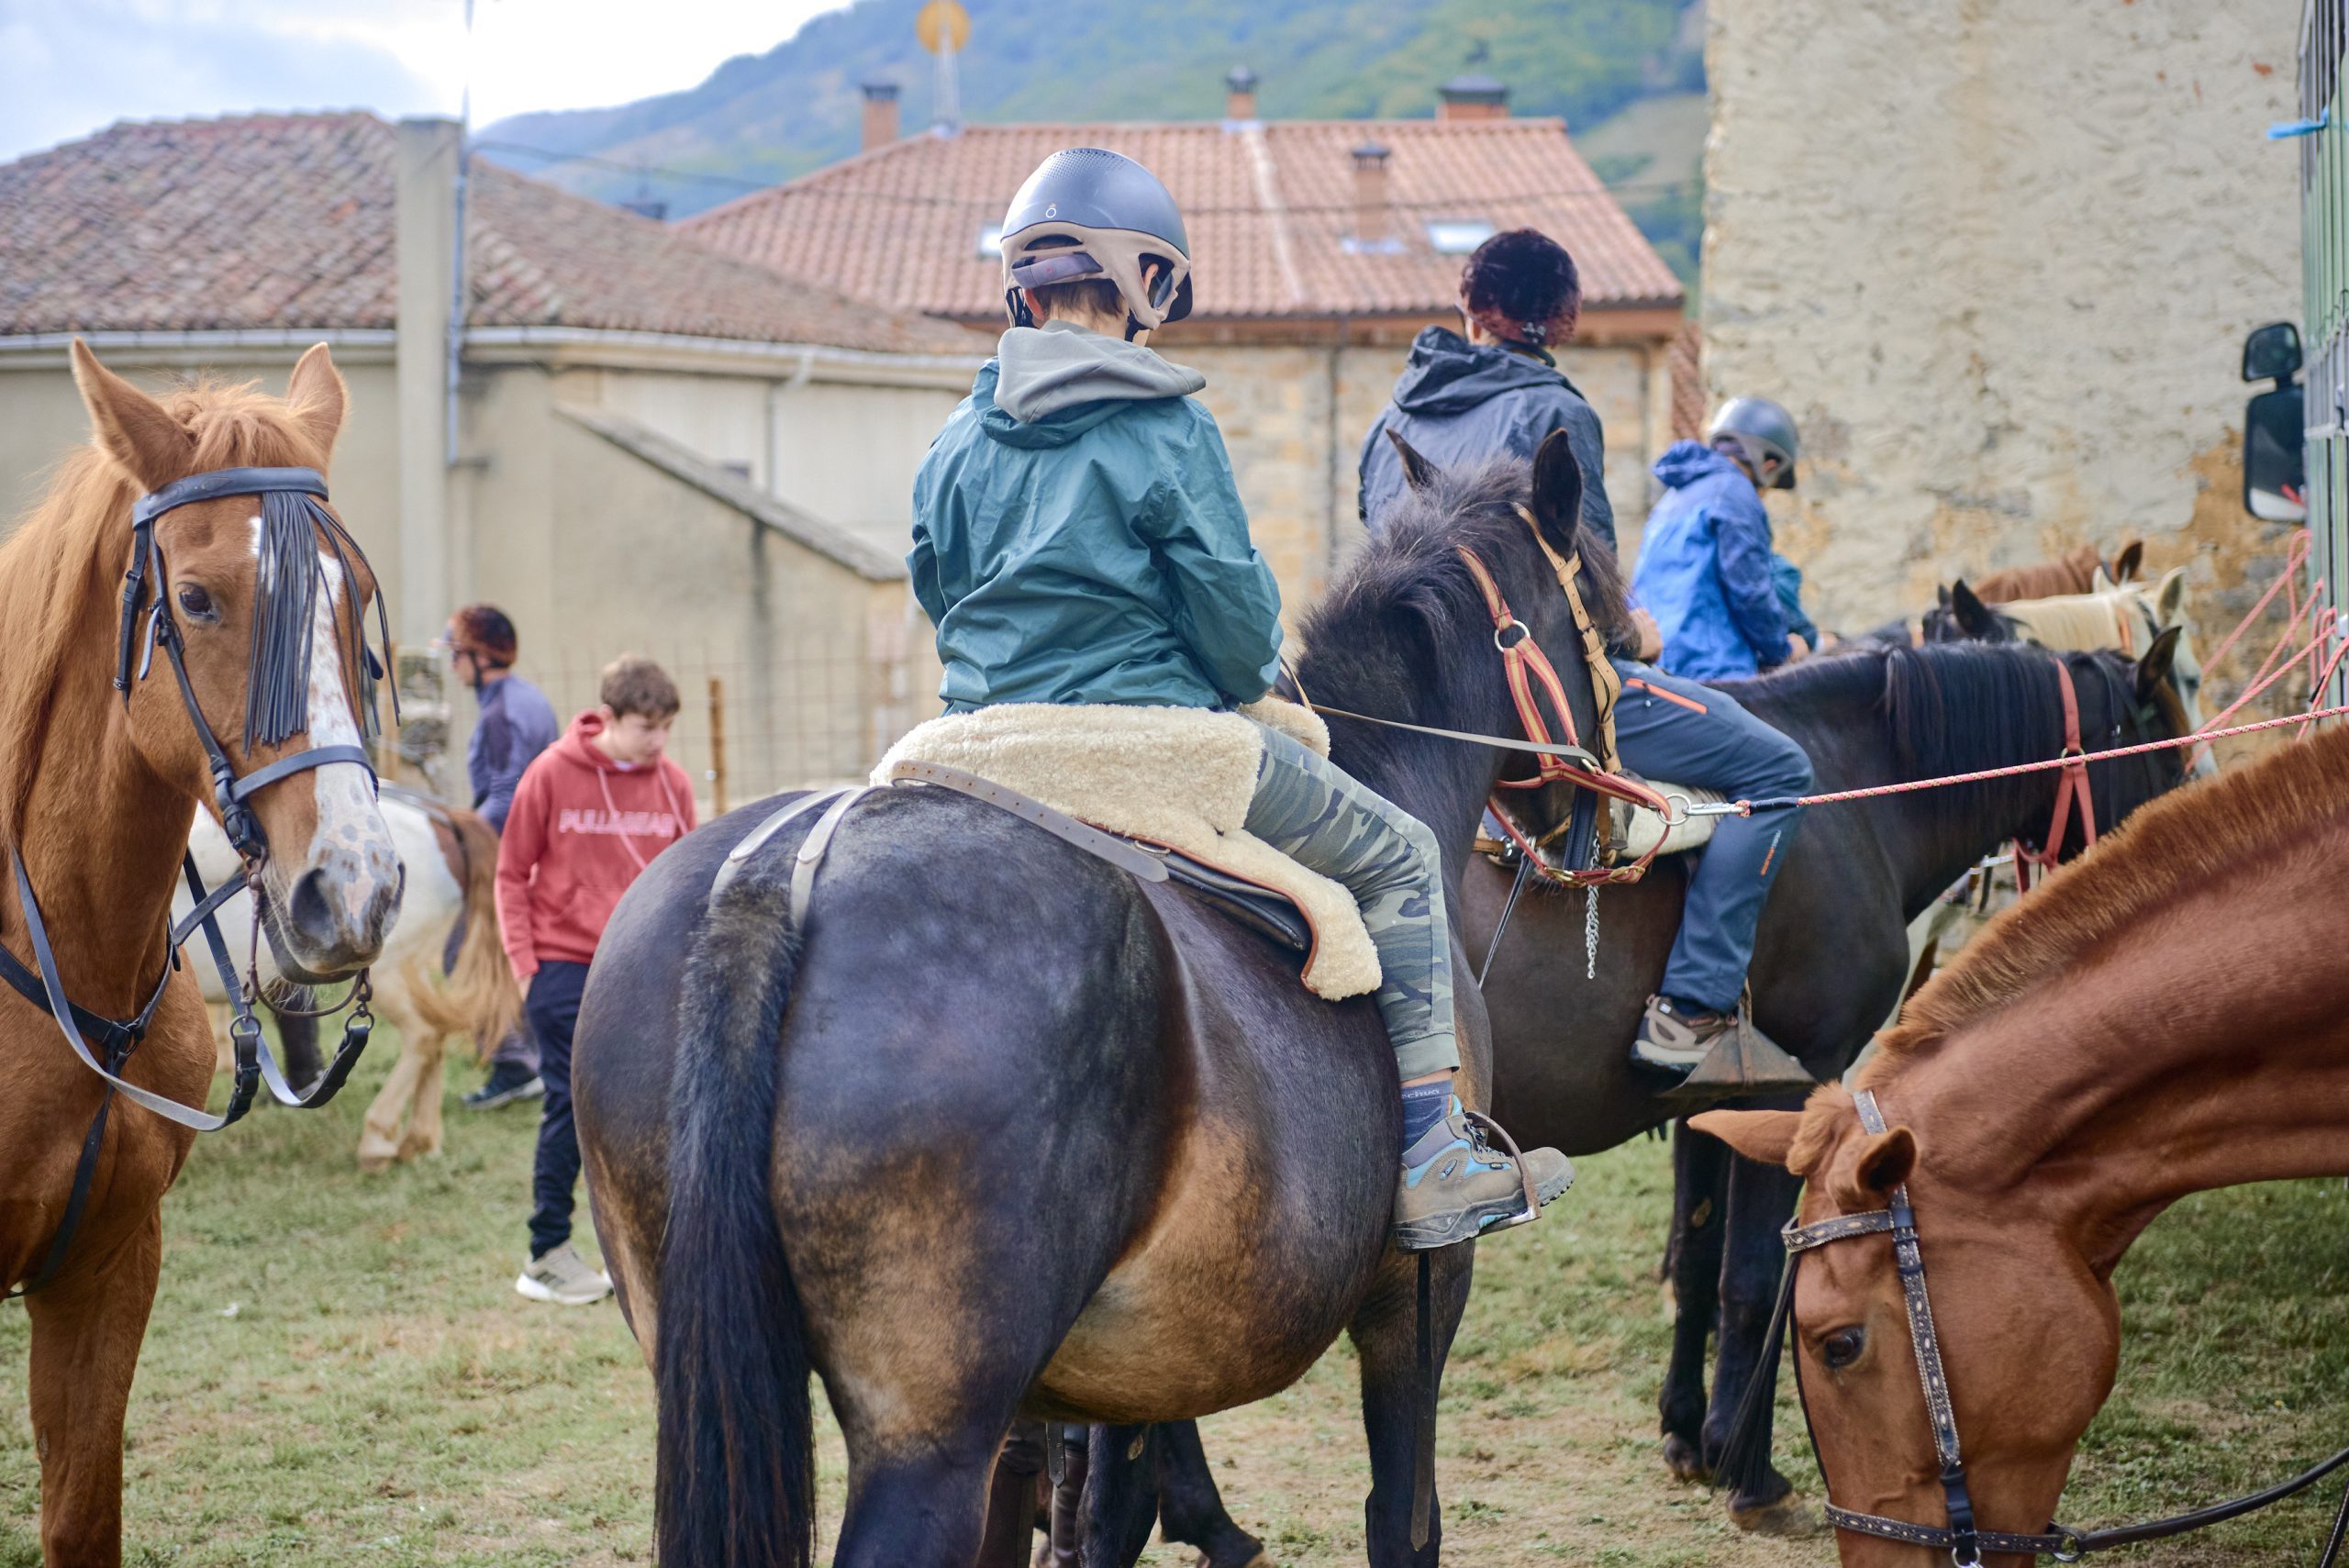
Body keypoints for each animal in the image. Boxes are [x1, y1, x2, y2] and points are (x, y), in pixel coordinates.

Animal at [571, 431, 1634, 1568]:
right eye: (1605, 608)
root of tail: (776, 875)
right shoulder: (1417, 1294)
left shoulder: (1125, 1367)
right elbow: (1403, 1518)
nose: (1607, 816)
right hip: (926, 1433)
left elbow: (1098, 1511)